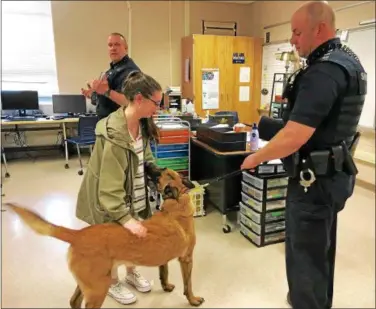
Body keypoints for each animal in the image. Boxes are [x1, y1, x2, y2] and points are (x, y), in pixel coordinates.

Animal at [4, 165, 204, 308]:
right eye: (163, 171)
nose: (147, 164)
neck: (176, 203)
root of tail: (78, 234)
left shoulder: (164, 258)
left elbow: (164, 273)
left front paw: (166, 287)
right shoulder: (187, 259)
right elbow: (188, 285)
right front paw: (193, 300)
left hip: (88, 284)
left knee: (73, 302)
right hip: (98, 288)